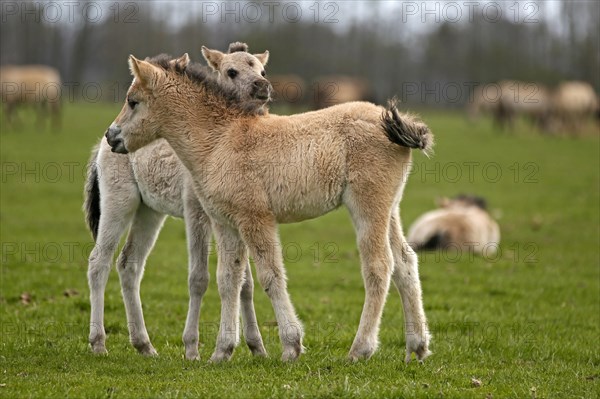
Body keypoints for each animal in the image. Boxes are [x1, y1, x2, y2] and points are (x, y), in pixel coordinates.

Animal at [84, 42, 272, 360]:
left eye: (262, 70)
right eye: (231, 72)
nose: (263, 87)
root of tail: (101, 145)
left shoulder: (233, 215)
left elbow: (245, 283)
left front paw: (257, 347)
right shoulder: (196, 212)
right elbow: (198, 278)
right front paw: (192, 349)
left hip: (149, 212)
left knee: (129, 264)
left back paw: (145, 345)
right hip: (119, 202)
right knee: (99, 261)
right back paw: (99, 343)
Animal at [106, 54, 436, 364]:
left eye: (133, 102)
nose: (111, 136)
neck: (220, 139)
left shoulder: (255, 217)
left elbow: (270, 276)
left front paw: (291, 345)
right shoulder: (224, 222)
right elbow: (229, 280)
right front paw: (222, 351)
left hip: (368, 206)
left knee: (379, 266)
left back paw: (360, 349)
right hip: (390, 210)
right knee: (405, 261)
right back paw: (417, 347)